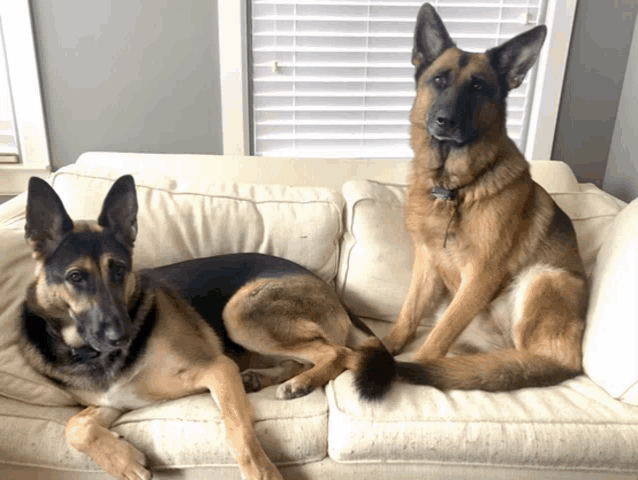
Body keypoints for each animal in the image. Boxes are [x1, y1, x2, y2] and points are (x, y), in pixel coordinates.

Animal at [20, 174, 362, 478]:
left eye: (119, 270)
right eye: (75, 277)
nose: (122, 336)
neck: (92, 355)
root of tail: (329, 290)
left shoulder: (217, 369)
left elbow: (239, 434)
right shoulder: (115, 401)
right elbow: (75, 426)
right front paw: (124, 462)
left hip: (237, 314)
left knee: (338, 352)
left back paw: (301, 383)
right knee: (307, 356)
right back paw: (270, 379)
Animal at [356, 2, 592, 402]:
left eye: (479, 87)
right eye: (439, 80)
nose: (445, 121)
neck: (454, 188)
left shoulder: (481, 276)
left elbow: (437, 339)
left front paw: (405, 366)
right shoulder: (427, 262)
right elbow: (407, 315)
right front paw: (384, 347)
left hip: (545, 277)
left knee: (525, 357)